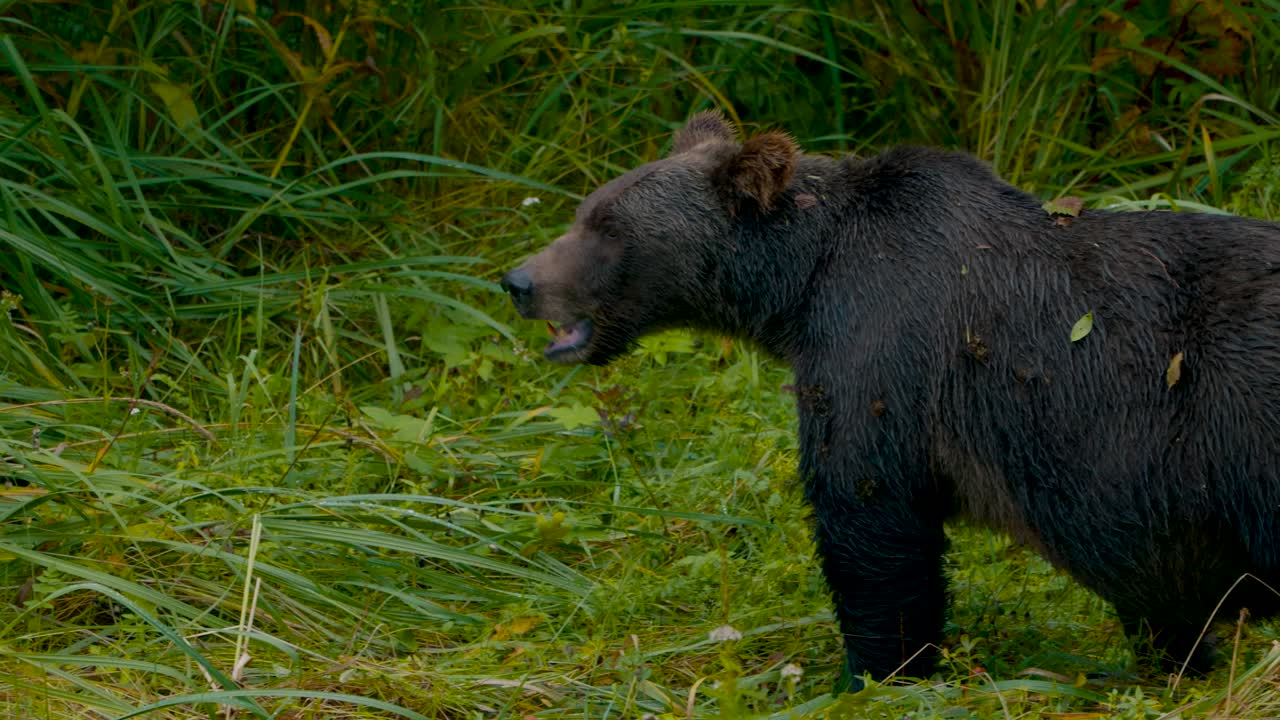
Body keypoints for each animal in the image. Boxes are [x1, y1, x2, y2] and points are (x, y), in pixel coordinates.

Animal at [500, 110, 1280, 691]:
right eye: (584, 211)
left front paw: (873, 671)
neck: (802, 282)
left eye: (608, 230)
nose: (518, 280)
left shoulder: (883, 350)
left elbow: (871, 523)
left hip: (1243, 414)